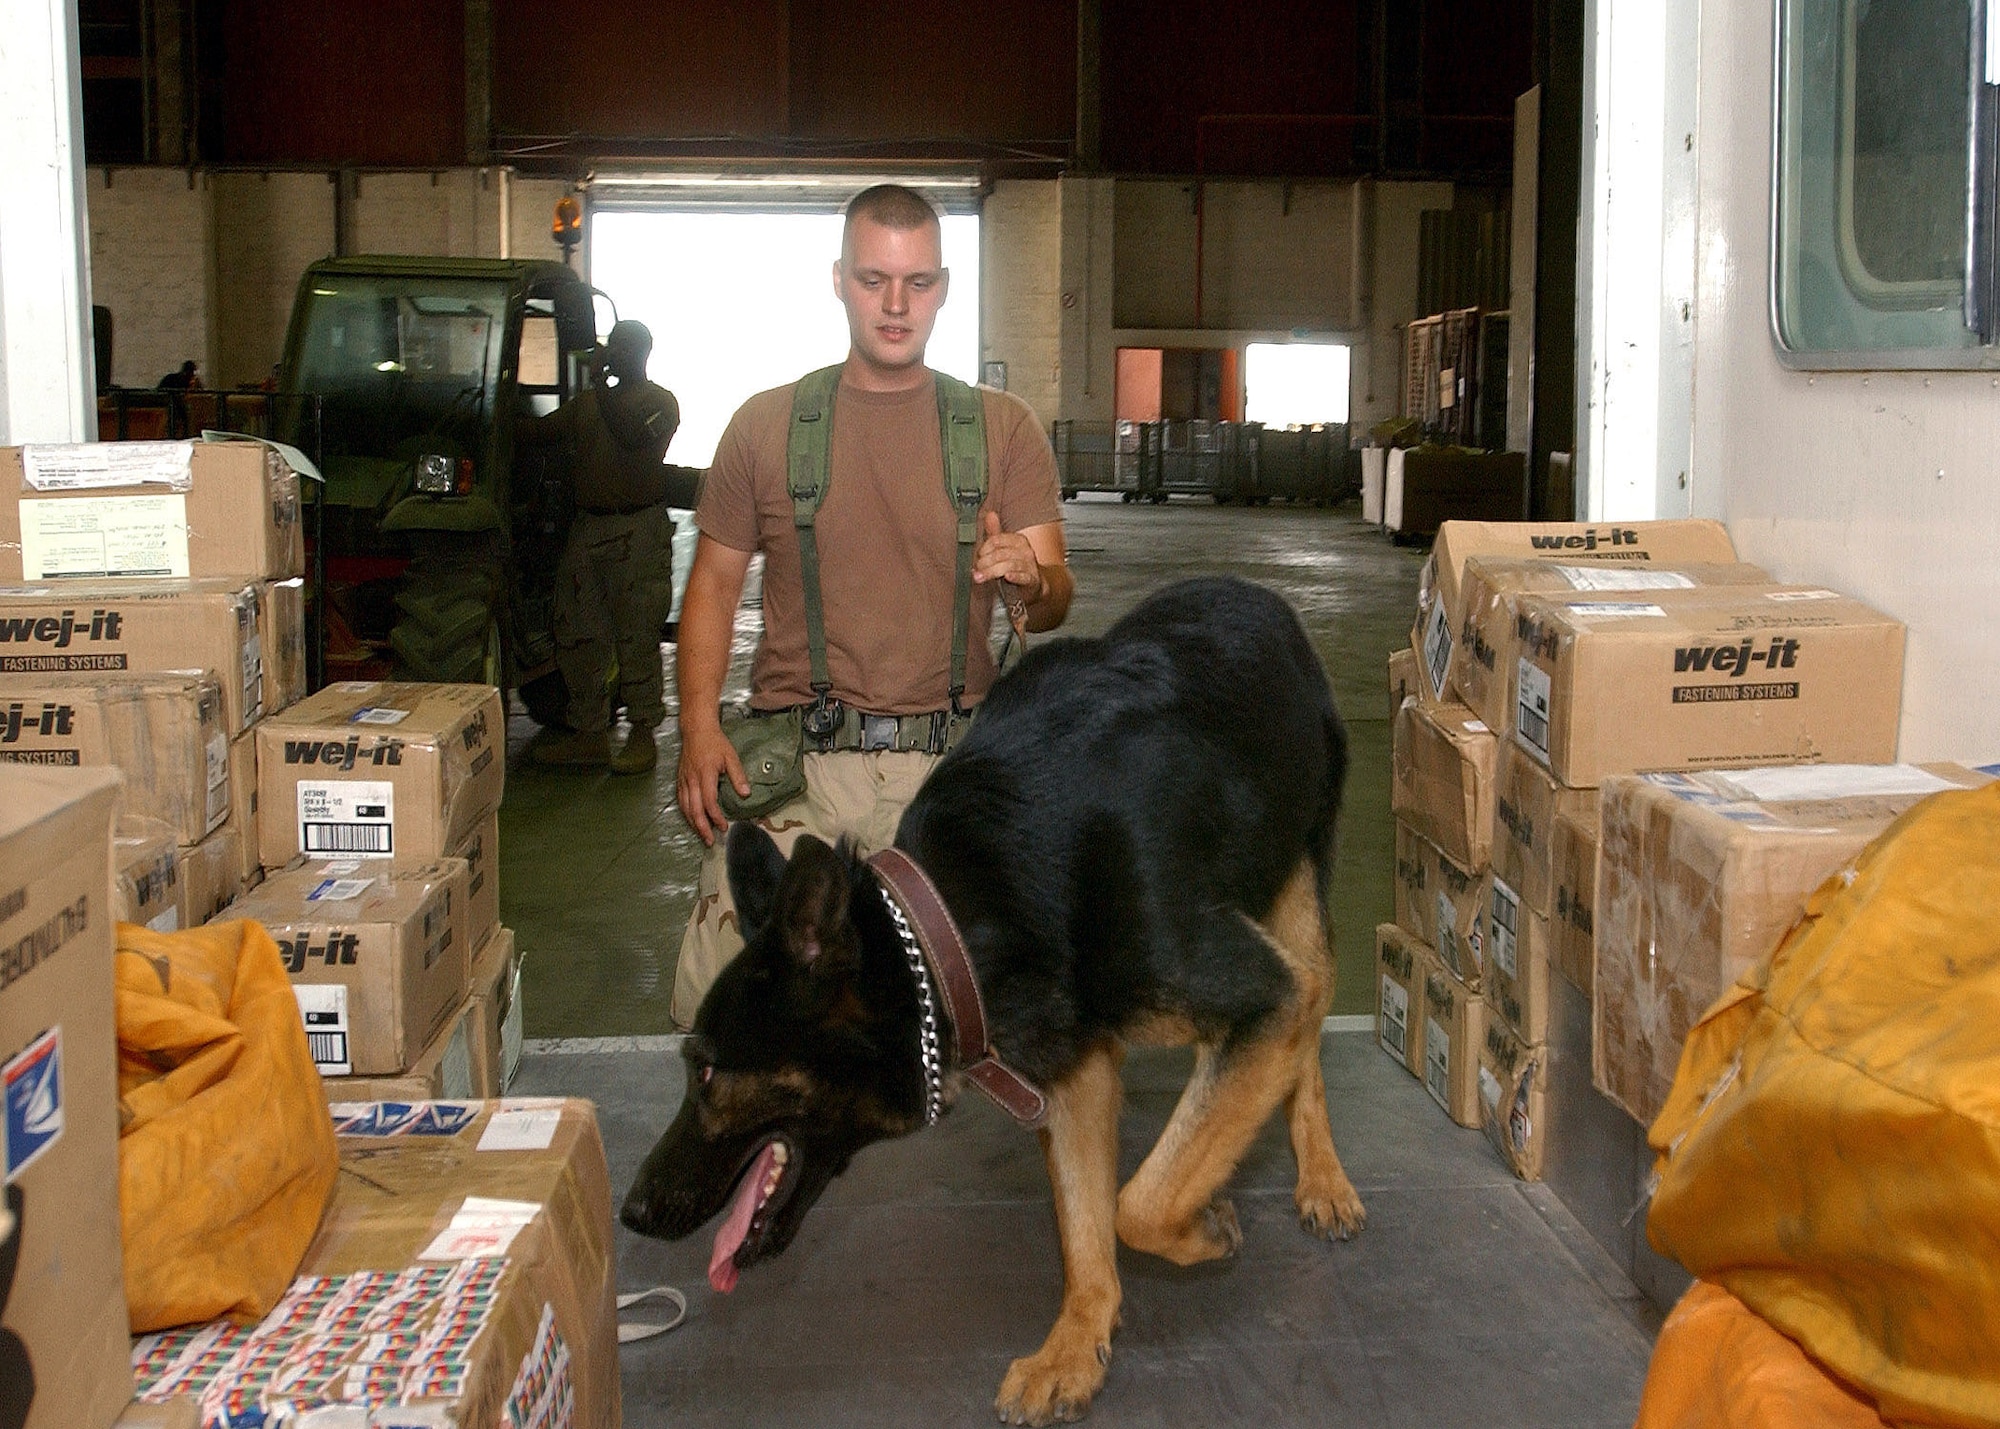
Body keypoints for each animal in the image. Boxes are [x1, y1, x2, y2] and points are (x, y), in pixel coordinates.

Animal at [632, 572, 1368, 1416]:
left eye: (706, 1068)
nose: (631, 1211)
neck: (950, 921)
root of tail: (1249, 590)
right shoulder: (1074, 1068)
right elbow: (1088, 1224)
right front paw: (1077, 1344)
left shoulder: (1258, 994)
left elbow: (1137, 1206)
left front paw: (1203, 1228)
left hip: (1298, 913)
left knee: (1308, 1031)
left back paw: (1323, 1176)